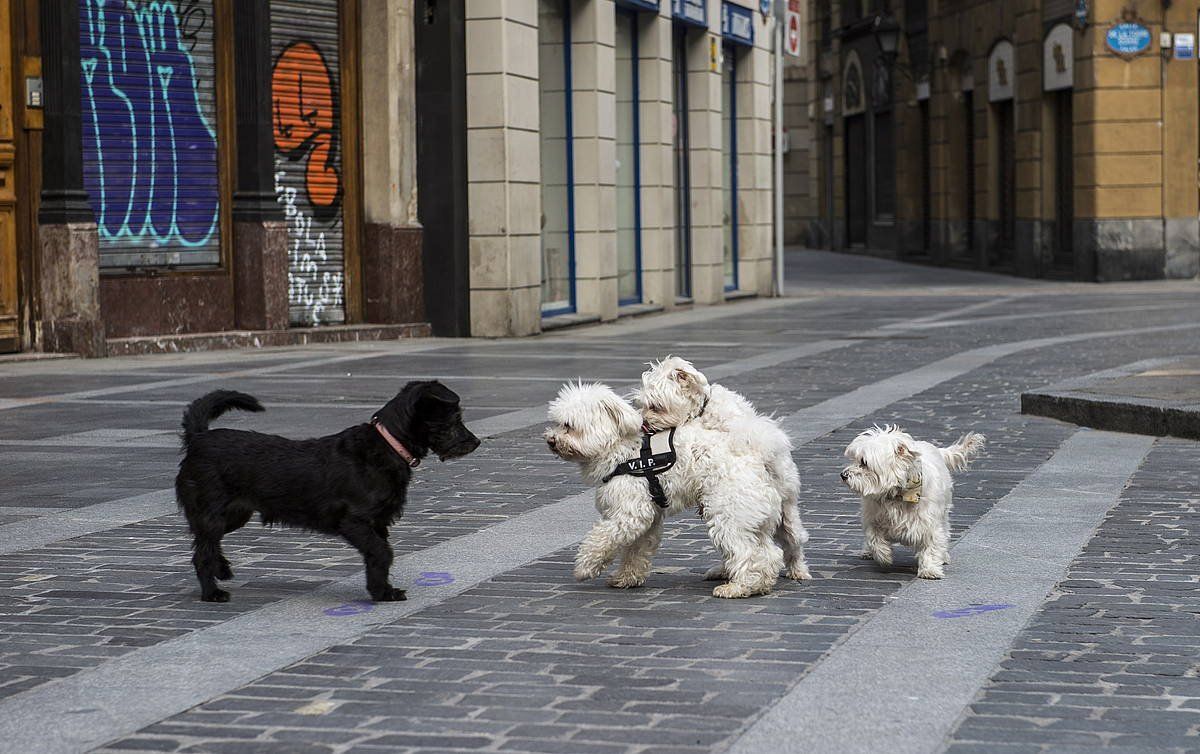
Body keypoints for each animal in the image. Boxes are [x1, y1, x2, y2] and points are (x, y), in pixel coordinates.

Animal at [175, 381, 482, 600]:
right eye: (454, 419)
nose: (476, 442)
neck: (389, 444)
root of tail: (198, 438)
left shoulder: (377, 524)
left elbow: (378, 556)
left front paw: (381, 590)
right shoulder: (356, 522)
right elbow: (382, 553)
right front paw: (382, 593)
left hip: (235, 514)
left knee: (206, 542)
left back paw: (221, 569)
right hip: (214, 513)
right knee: (202, 551)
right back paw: (211, 593)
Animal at [544, 381, 806, 600]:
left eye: (568, 426)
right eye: (556, 423)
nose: (550, 440)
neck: (622, 450)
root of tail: (757, 453)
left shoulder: (628, 514)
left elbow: (600, 539)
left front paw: (585, 567)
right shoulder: (647, 519)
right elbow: (635, 552)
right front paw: (626, 577)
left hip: (729, 517)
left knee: (752, 554)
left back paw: (739, 587)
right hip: (764, 517)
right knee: (773, 551)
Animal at [844, 427, 984, 581]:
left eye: (864, 462)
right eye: (855, 459)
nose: (843, 475)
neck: (898, 495)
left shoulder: (930, 523)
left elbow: (931, 546)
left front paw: (930, 569)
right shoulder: (873, 517)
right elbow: (874, 538)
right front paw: (884, 556)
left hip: (943, 514)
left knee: (945, 531)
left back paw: (944, 556)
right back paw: (867, 552)